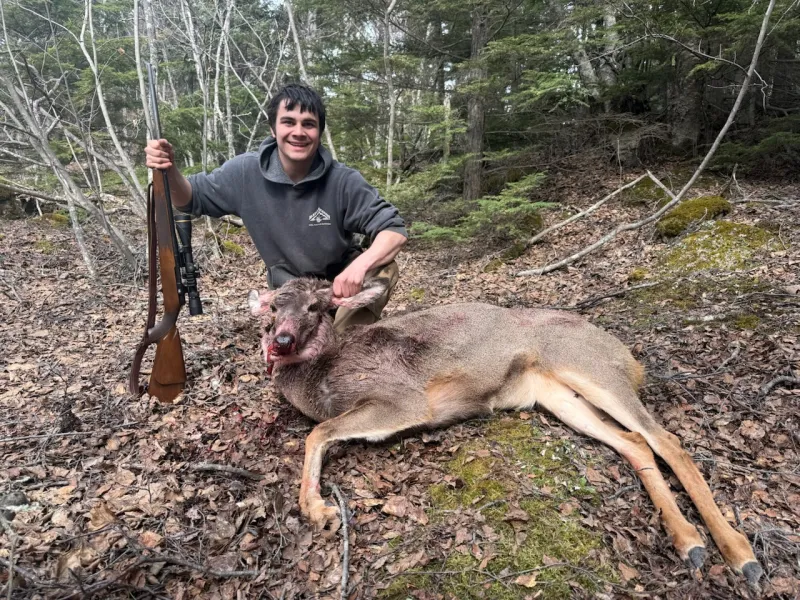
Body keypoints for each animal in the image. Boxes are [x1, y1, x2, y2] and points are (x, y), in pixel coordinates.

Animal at [248, 276, 762, 585]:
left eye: (318, 307)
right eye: (273, 308)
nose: (282, 340)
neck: (320, 376)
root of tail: (629, 355)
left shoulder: (399, 399)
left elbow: (316, 433)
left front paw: (317, 509)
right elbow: (318, 433)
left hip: (590, 367)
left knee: (666, 439)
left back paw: (740, 553)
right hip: (558, 397)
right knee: (635, 443)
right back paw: (689, 543)